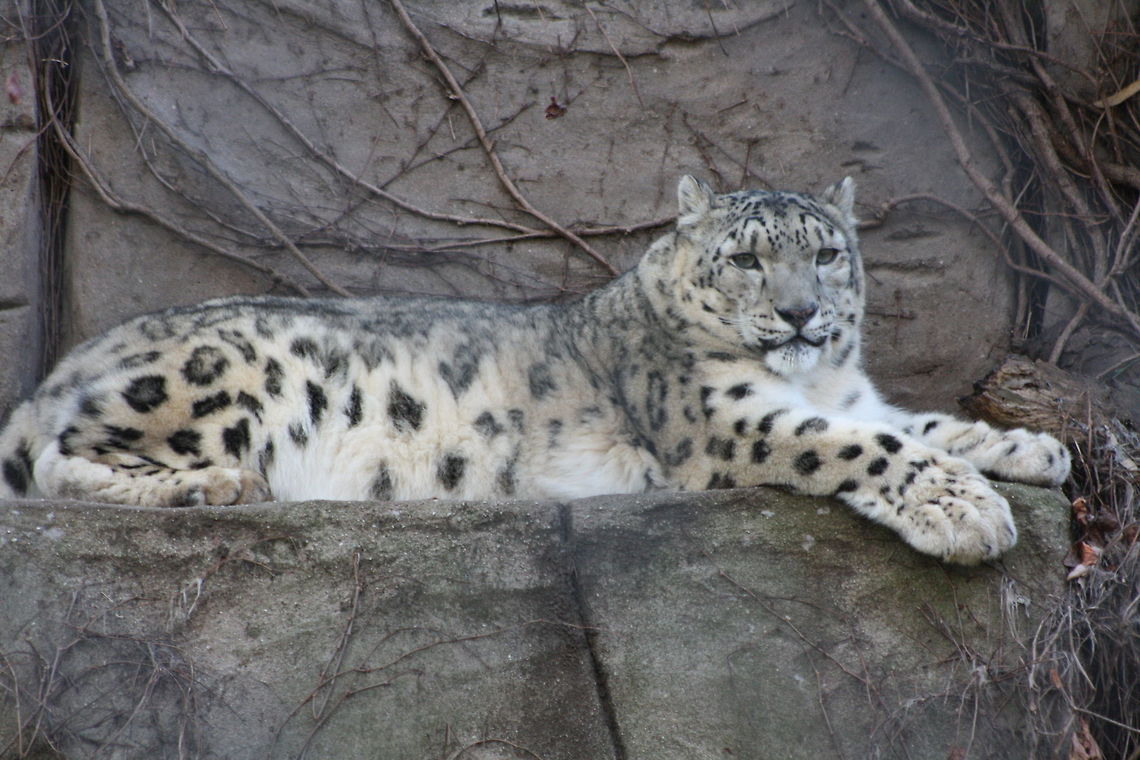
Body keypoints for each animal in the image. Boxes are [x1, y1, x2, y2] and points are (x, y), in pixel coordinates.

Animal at [0, 175, 1069, 564]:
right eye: (747, 258)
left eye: (829, 253)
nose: (803, 313)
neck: (812, 377)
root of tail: (76, 356)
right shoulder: (727, 420)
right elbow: (862, 447)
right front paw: (969, 514)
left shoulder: (856, 394)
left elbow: (918, 423)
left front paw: (1030, 447)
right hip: (213, 377)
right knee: (57, 458)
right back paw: (213, 487)